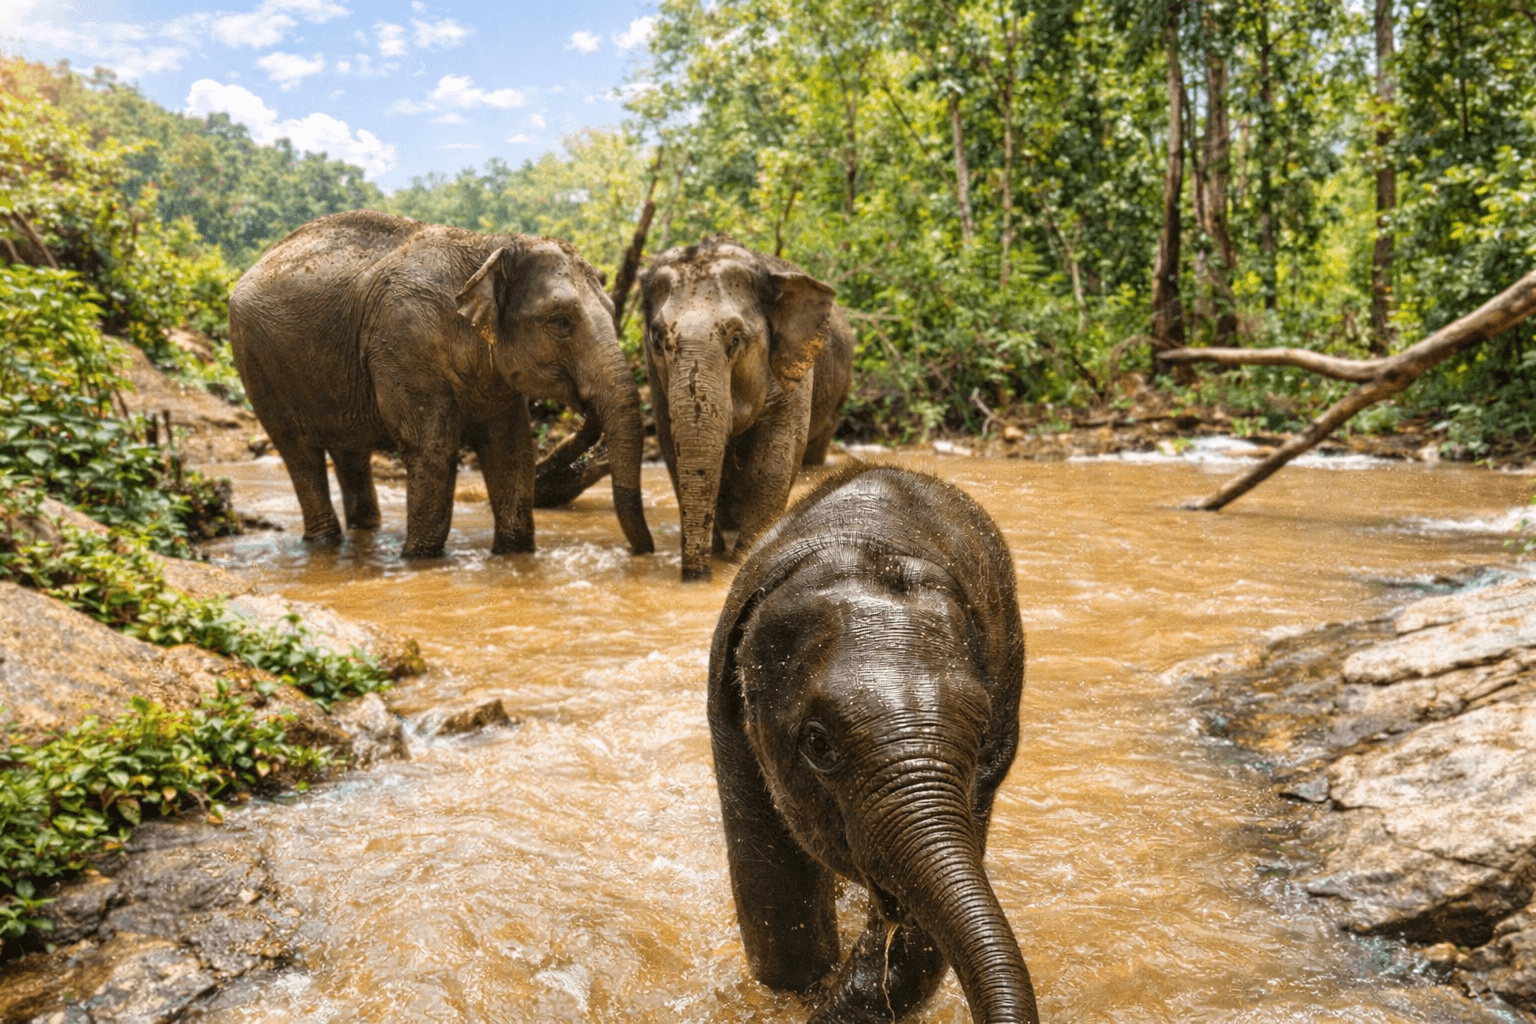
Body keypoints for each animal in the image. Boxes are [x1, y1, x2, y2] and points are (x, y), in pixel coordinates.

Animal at [228, 210, 653, 559]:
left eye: (613, 311)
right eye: (561, 322)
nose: (643, 553)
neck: (490, 246)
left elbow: (512, 450)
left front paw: (512, 554)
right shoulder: (404, 341)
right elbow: (432, 447)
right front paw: (418, 558)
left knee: (351, 451)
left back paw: (366, 532)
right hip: (257, 361)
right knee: (299, 453)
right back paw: (325, 542)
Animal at [640, 236, 854, 581]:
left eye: (736, 340)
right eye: (659, 342)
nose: (697, 577)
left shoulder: (793, 370)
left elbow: (774, 458)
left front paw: (743, 558)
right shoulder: (655, 381)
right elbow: (671, 450)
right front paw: (718, 552)